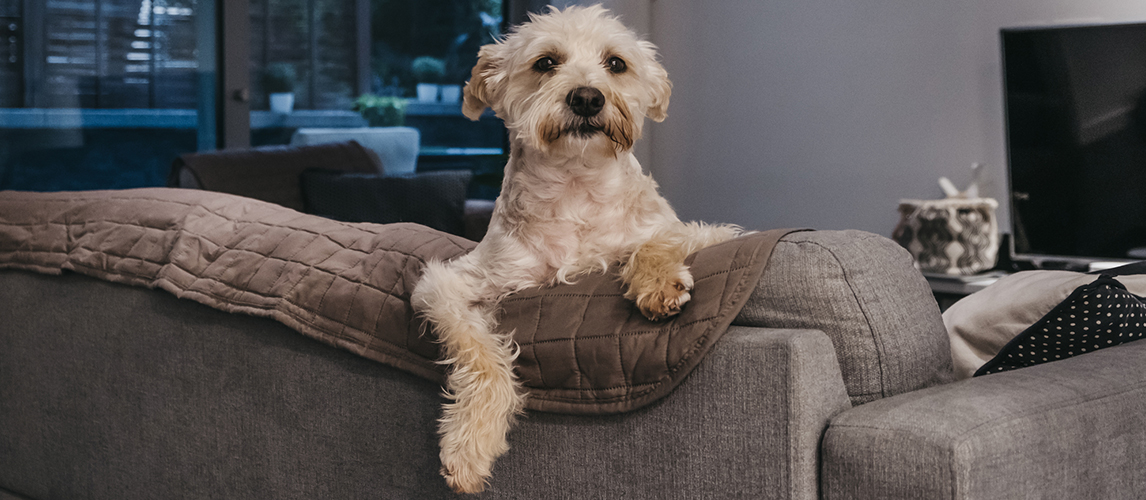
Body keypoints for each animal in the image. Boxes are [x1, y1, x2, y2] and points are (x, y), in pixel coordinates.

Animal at [412, 5, 742, 493]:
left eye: (616, 63)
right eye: (546, 62)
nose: (587, 98)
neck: (576, 185)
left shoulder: (706, 232)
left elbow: (659, 239)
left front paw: (658, 283)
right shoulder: (448, 284)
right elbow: (480, 354)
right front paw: (469, 445)